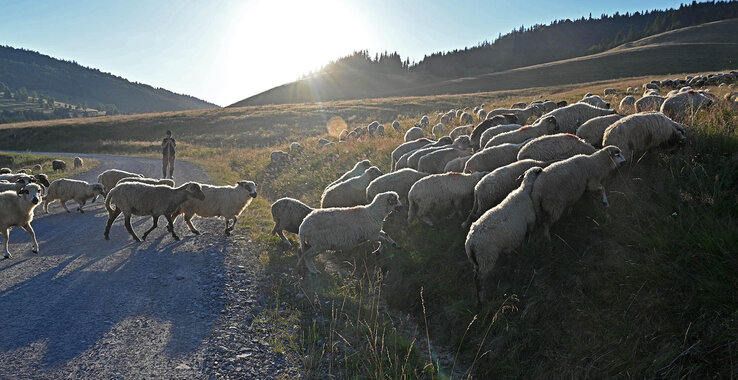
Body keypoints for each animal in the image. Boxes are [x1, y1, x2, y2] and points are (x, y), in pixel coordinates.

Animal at [466, 166, 540, 302]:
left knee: (475, 276)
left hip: (476, 261)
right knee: (479, 279)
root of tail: (470, 243)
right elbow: (528, 239)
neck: (525, 191)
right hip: (486, 258)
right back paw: (481, 300)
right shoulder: (530, 223)